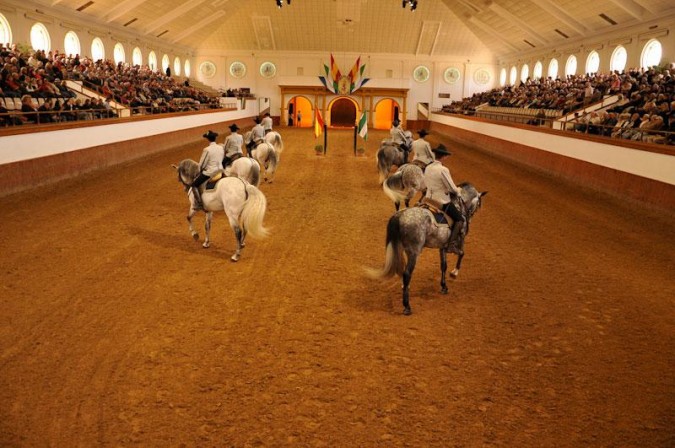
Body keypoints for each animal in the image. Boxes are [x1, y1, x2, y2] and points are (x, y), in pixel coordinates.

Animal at [368, 182, 488, 316]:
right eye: (478, 204)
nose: (469, 218)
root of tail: (399, 216)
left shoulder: (442, 247)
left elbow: (443, 266)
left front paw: (444, 286)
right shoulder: (459, 241)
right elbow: (462, 253)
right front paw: (454, 273)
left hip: (401, 249)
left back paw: (405, 287)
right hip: (414, 252)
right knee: (407, 273)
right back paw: (407, 306)